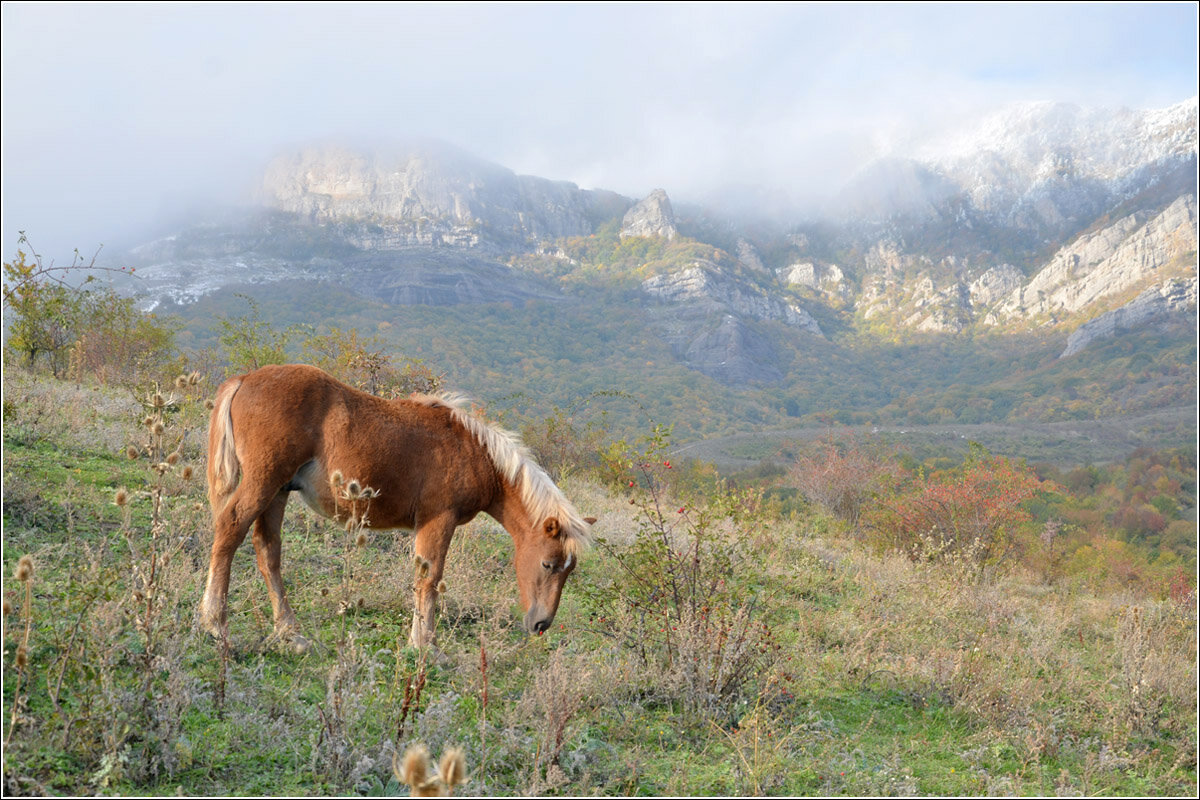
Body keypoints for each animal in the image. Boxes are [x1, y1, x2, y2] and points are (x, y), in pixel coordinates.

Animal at [198, 362, 595, 652]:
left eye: (569, 570)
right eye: (548, 564)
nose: (540, 624)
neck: (475, 452)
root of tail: (244, 379)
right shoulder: (439, 519)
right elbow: (429, 579)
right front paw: (424, 645)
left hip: (278, 490)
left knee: (268, 551)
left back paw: (291, 634)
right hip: (263, 482)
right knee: (230, 530)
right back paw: (215, 624)